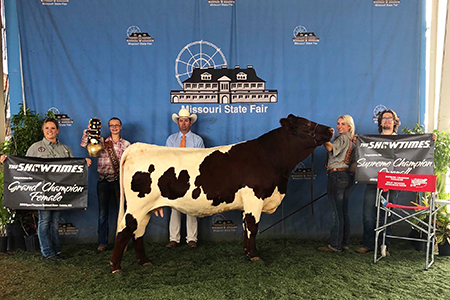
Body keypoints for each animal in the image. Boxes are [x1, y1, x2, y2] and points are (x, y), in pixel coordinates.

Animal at [109, 114, 334, 272]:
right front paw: (254, 255)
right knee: (125, 230)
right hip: (137, 206)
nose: (331, 129)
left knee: (138, 232)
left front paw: (246, 252)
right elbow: (253, 227)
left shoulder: (248, 203)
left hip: (146, 208)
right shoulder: (254, 198)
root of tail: (137, 147)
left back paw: (144, 261)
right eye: (306, 124)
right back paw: (115, 267)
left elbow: (245, 227)